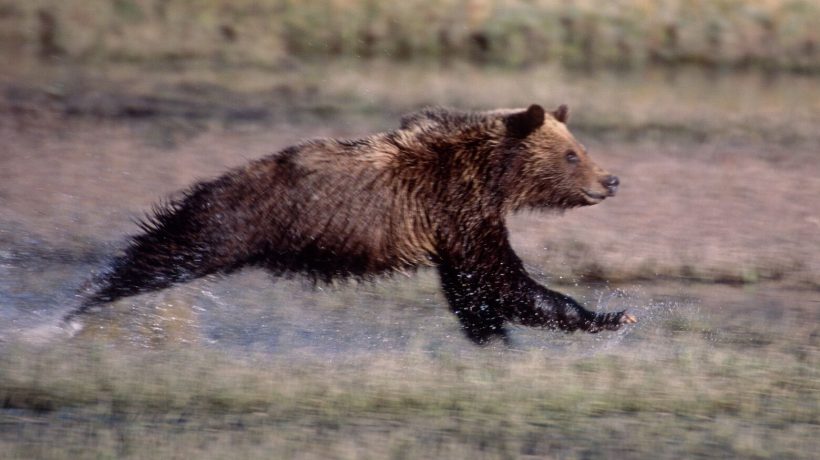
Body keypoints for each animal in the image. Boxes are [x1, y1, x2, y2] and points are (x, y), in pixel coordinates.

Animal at [61, 103, 636, 344]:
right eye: (571, 154)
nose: (611, 180)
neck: (491, 172)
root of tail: (212, 184)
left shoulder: (451, 225)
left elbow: (472, 288)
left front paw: (492, 337)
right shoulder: (456, 204)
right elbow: (503, 279)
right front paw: (611, 316)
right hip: (229, 223)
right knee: (164, 253)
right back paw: (76, 306)